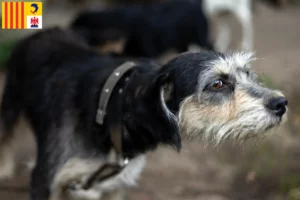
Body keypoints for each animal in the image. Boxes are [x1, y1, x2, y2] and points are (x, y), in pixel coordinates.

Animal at [0, 27, 288, 200]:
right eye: (216, 84)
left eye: (247, 73)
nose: (282, 103)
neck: (110, 110)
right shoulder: (43, 180)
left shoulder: (113, 186)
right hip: (10, 104)